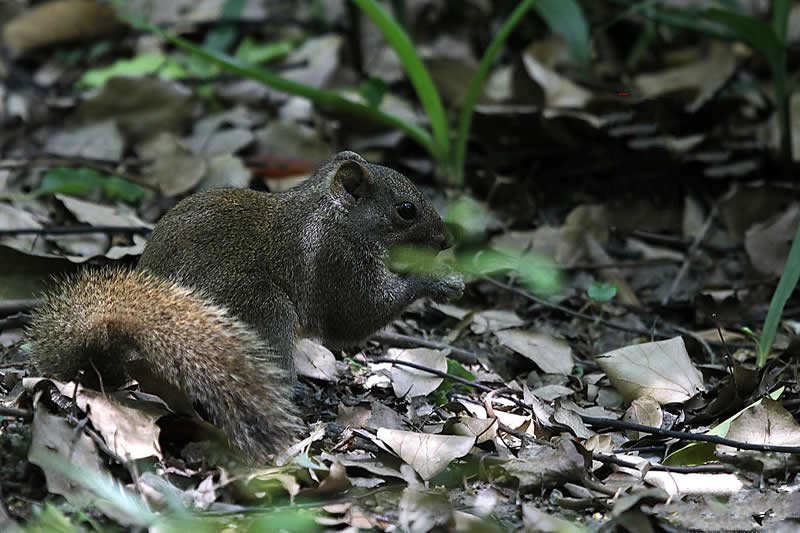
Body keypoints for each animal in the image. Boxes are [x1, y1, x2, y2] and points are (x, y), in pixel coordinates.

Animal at [26, 150, 462, 462]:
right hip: (263, 311)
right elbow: (356, 315)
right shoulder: (337, 261)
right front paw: (439, 280)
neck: (332, 213)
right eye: (406, 210)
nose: (446, 241)